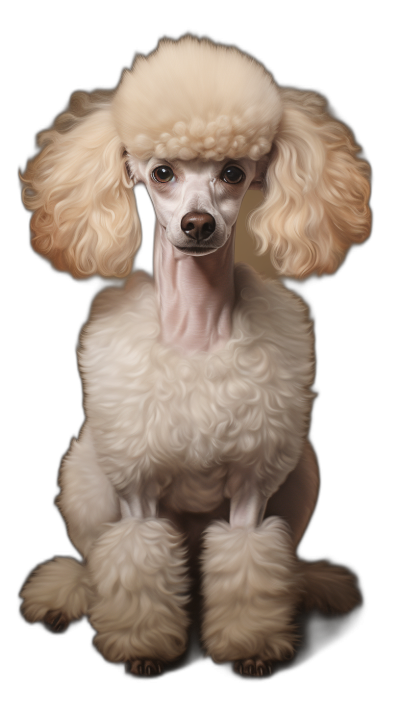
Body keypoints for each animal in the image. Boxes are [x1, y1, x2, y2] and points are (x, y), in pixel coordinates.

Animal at [19, 34, 372, 680]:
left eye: (233, 173)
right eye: (162, 172)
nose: (198, 224)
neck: (197, 331)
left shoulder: (254, 484)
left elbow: (250, 557)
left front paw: (252, 645)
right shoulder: (135, 487)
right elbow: (135, 555)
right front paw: (141, 647)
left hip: (302, 476)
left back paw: (311, 589)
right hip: (85, 481)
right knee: (93, 557)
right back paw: (68, 596)